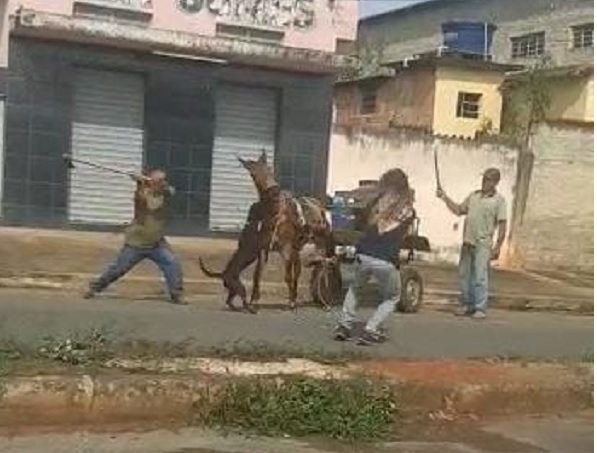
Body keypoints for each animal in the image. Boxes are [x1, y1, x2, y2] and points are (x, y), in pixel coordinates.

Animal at [198, 150, 332, 312]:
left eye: (269, 169)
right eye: (253, 174)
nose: (274, 192)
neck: (274, 214)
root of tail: (318, 204)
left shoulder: (285, 248)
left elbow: (287, 276)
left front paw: (290, 304)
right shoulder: (263, 248)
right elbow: (258, 274)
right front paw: (253, 302)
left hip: (318, 241)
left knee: (321, 266)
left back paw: (321, 300)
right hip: (298, 247)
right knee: (299, 269)